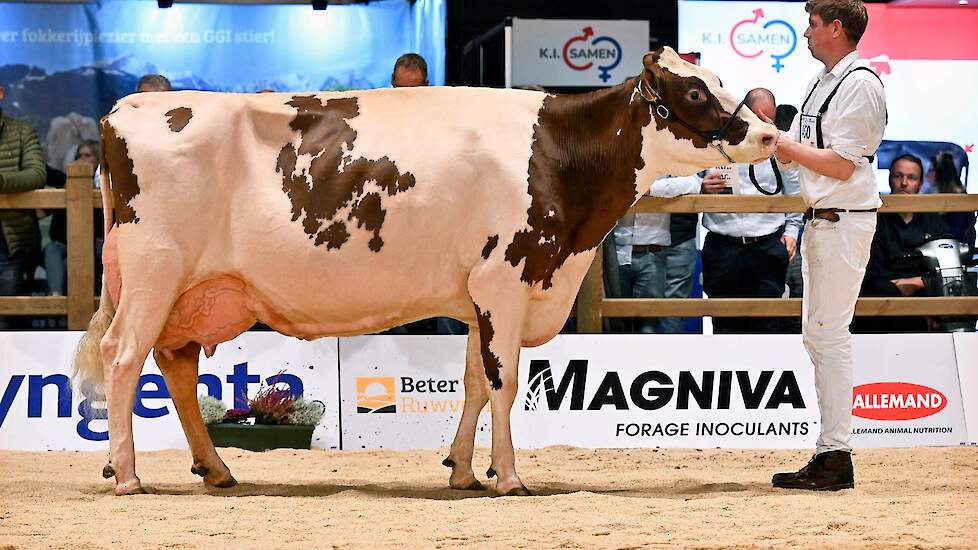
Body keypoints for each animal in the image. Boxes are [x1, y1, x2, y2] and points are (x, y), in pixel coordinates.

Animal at [76, 46, 776, 496]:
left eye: (715, 78)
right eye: (694, 91)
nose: (769, 134)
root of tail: (124, 111)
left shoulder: (479, 296)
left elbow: (473, 383)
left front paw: (464, 471)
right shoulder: (505, 279)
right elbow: (504, 382)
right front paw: (509, 478)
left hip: (191, 289)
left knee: (175, 365)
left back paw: (214, 469)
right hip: (153, 272)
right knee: (123, 356)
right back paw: (129, 475)